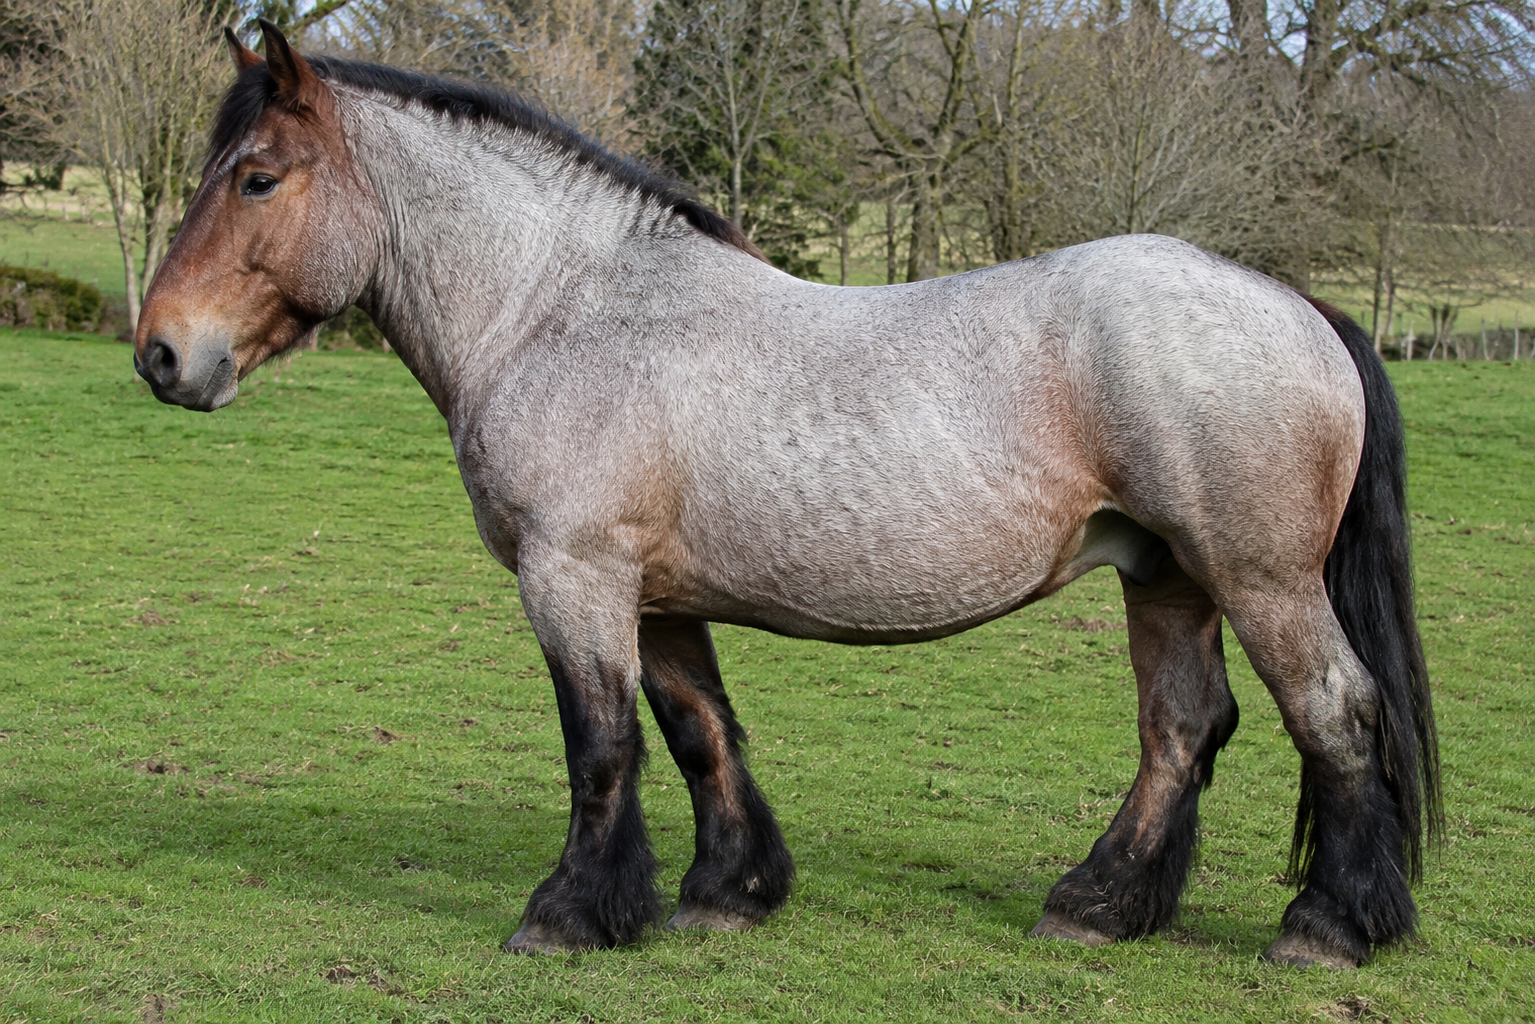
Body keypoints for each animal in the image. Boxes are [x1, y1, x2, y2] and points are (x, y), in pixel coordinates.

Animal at [134, 21, 1440, 968]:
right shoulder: (653, 595)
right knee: (1179, 729)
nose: (160, 353)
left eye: (257, 179)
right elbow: (695, 730)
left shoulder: (572, 575)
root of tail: (1291, 304)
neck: (564, 309)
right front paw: (726, 892)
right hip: (1166, 577)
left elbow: (599, 745)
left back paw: (1323, 927)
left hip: (1260, 580)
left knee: (1332, 713)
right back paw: (1098, 903)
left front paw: (565, 913)